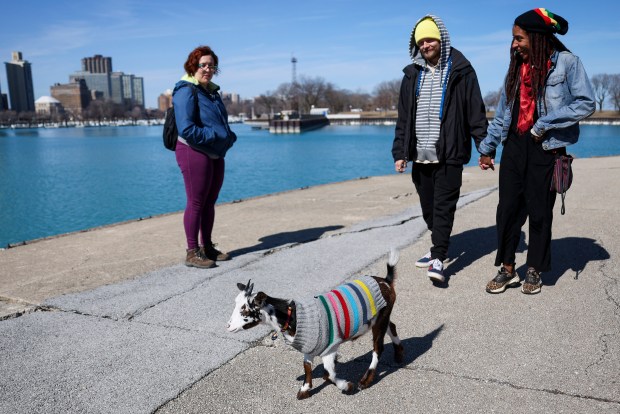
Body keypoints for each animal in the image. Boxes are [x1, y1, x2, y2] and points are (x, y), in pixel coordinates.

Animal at [225, 247, 404, 400]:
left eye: (244, 309)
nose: (228, 326)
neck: (294, 316)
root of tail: (386, 281)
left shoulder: (330, 347)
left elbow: (328, 374)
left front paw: (347, 386)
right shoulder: (309, 347)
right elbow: (307, 367)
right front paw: (304, 390)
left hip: (380, 318)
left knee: (377, 348)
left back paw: (365, 381)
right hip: (381, 317)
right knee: (392, 326)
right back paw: (399, 355)